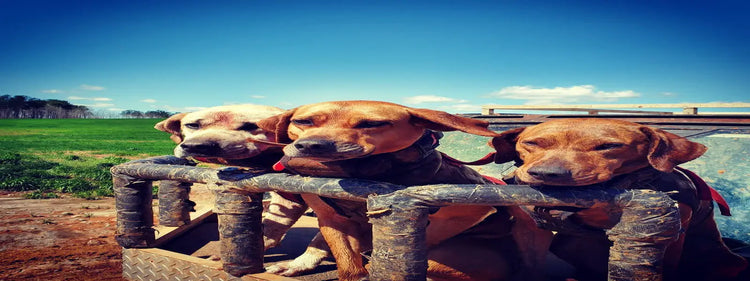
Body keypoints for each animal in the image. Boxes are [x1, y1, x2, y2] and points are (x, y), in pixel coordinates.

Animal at [156, 104, 334, 276]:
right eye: (192, 125)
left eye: (252, 126)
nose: (197, 145)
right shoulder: (288, 197)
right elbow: (270, 226)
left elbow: (322, 240)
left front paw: (294, 266)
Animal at [258, 100, 524, 280]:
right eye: (303, 121)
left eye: (372, 124)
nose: (312, 145)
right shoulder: (331, 220)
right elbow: (348, 264)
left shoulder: (467, 212)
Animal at [490, 117, 748, 280]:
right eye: (531, 143)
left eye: (609, 146)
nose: (547, 173)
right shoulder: (530, 230)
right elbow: (532, 264)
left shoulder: (666, 237)